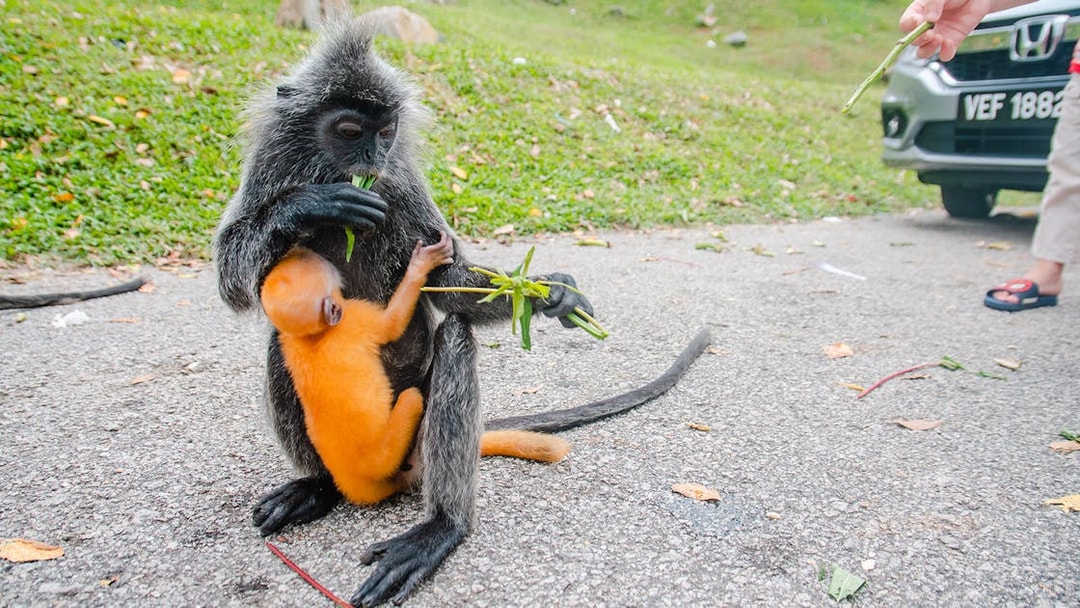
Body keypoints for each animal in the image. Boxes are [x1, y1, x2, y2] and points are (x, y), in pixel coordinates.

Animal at [259, 232, 571, 505]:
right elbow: (392, 323)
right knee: (436, 360)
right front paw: (421, 264)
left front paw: (552, 292)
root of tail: (358, 485)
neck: (313, 337)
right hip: (393, 448)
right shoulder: (357, 318)